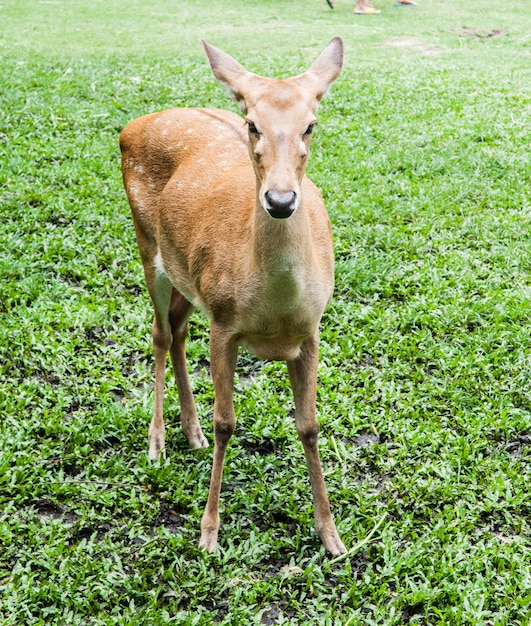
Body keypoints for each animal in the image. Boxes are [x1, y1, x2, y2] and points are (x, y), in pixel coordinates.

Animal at [118, 36, 348, 552]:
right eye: (252, 124)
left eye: (310, 125)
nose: (280, 200)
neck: (276, 308)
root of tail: (131, 126)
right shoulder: (224, 323)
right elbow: (228, 422)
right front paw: (209, 532)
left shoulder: (312, 330)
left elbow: (310, 426)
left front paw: (331, 535)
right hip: (148, 244)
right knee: (160, 334)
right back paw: (158, 443)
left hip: (187, 276)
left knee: (177, 331)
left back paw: (192, 434)